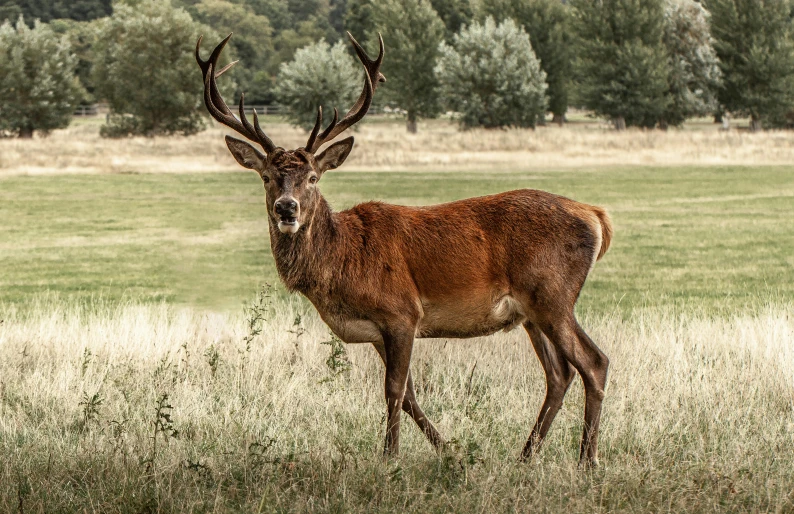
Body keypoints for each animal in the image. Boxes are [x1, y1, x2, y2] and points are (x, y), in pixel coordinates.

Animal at [196, 31, 612, 464]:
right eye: (266, 177)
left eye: (312, 177)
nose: (286, 208)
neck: (342, 262)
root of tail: (597, 216)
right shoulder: (379, 332)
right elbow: (410, 396)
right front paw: (448, 450)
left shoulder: (402, 312)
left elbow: (394, 391)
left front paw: (389, 456)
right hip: (531, 311)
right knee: (560, 374)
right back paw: (526, 456)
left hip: (552, 294)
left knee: (594, 362)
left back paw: (587, 459)